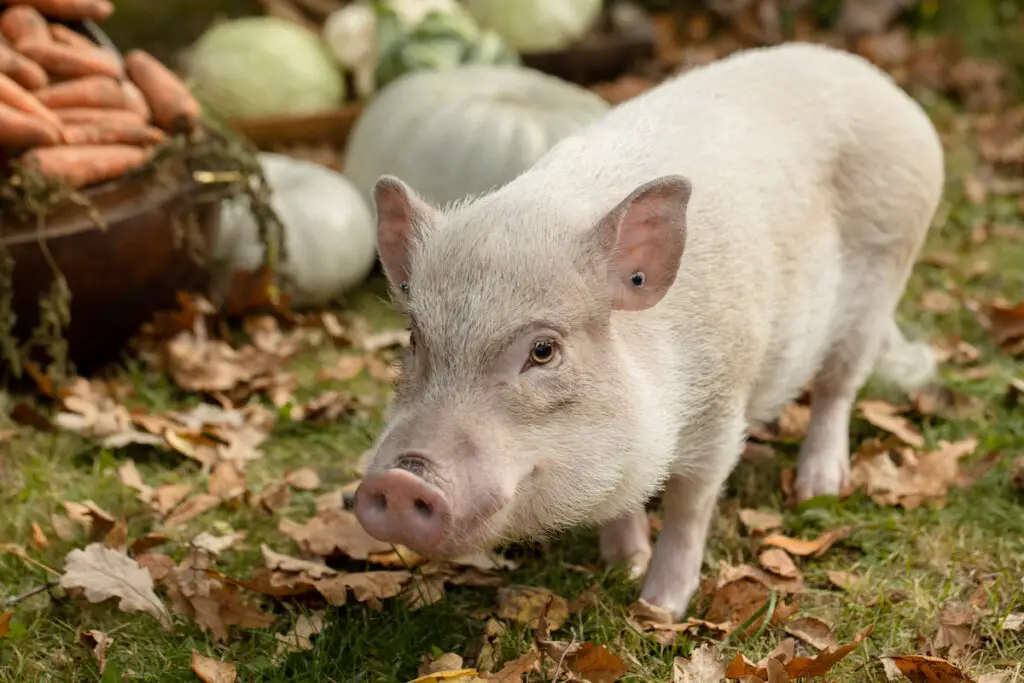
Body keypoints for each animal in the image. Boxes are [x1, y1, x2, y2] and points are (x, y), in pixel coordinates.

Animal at [354, 42, 942, 618]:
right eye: (414, 340)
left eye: (543, 351)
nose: (401, 478)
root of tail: (876, 81)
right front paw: (623, 566)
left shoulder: (720, 409)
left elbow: (689, 505)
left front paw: (660, 609)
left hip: (882, 281)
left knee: (836, 389)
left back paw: (819, 487)